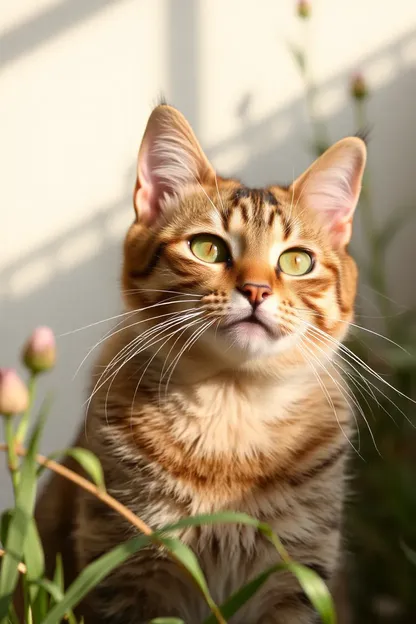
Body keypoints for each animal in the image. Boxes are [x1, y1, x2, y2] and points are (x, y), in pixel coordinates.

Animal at [36, 105, 368, 620]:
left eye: (296, 261)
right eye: (208, 248)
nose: (256, 290)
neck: (232, 407)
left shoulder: (297, 582)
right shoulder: (121, 572)